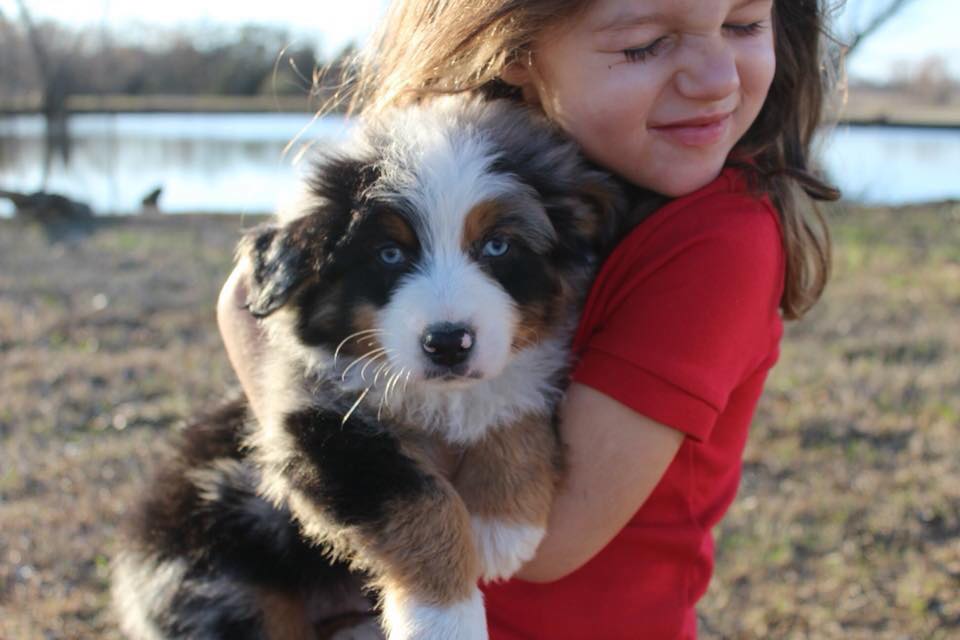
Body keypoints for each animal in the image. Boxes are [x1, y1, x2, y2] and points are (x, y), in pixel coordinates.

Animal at [112, 95, 636, 640]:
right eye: (389, 254)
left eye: (497, 245)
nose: (448, 344)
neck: (440, 396)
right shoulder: (315, 425)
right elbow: (420, 498)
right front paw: (445, 620)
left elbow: (513, 402)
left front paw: (501, 524)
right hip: (225, 587)